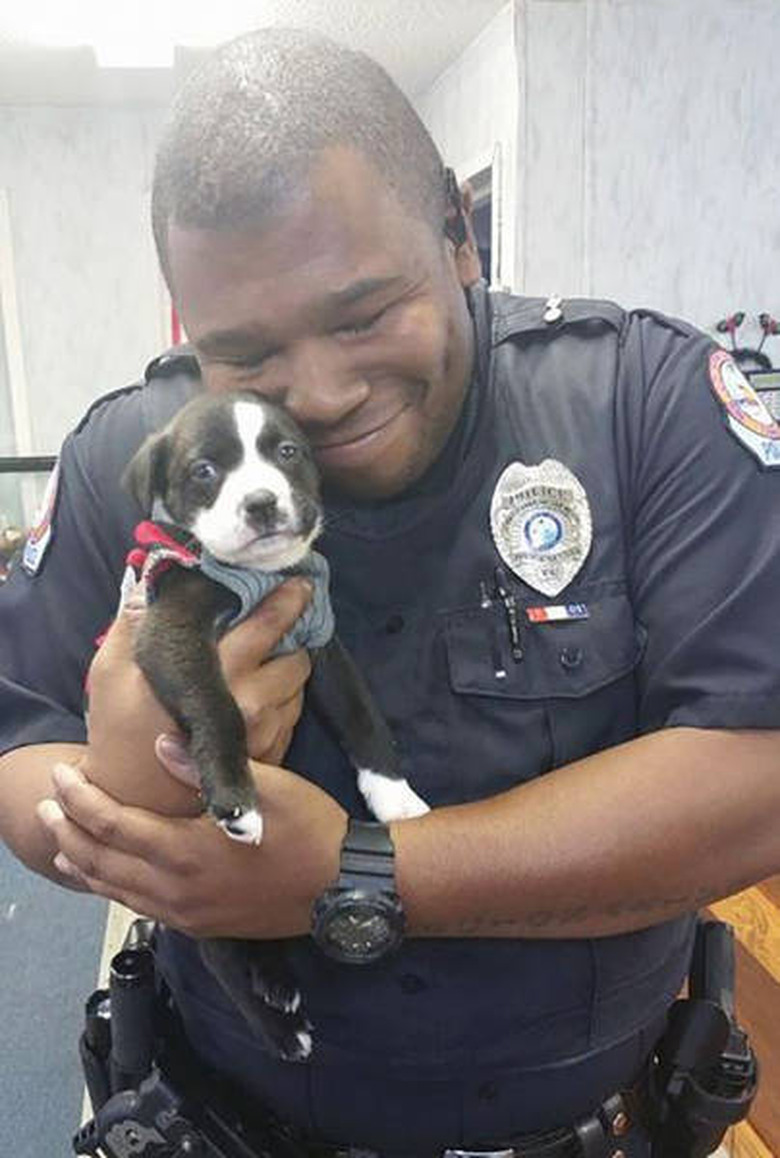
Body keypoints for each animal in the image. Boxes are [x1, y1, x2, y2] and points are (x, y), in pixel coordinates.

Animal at [121, 393, 425, 1060]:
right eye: (204, 471)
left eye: (287, 452)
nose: (261, 502)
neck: (261, 577)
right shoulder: (171, 632)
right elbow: (218, 704)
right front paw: (237, 797)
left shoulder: (321, 637)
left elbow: (361, 714)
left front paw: (394, 796)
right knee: (220, 961)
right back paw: (279, 1030)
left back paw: (278, 979)